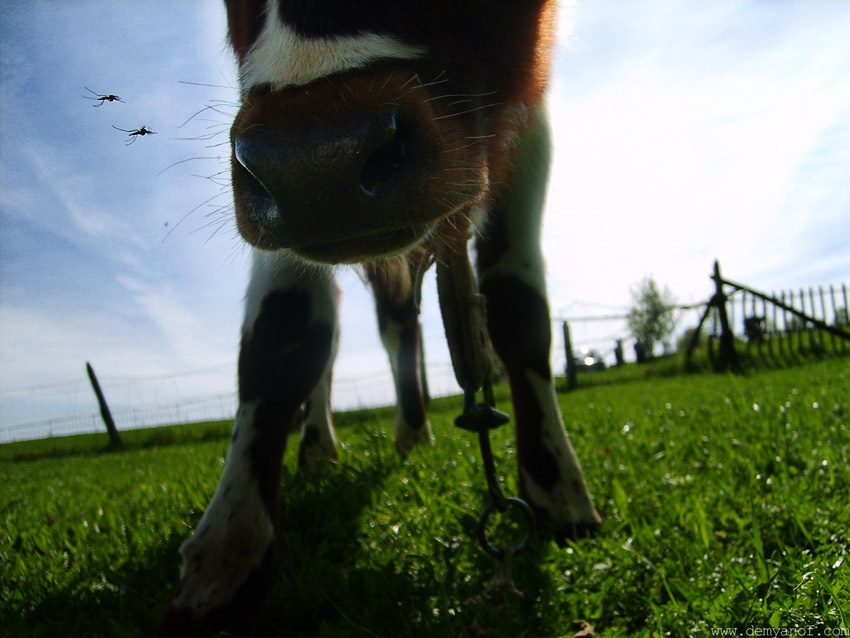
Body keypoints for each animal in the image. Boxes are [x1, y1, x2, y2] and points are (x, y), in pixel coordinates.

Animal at [160, 1, 602, 633]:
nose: (315, 163)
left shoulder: (526, 123)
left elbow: (519, 308)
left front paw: (556, 486)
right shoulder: (273, 202)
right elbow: (283, 335)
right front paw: (228, 551)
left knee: (400, 327)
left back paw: (411, 433)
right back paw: (322, 447)